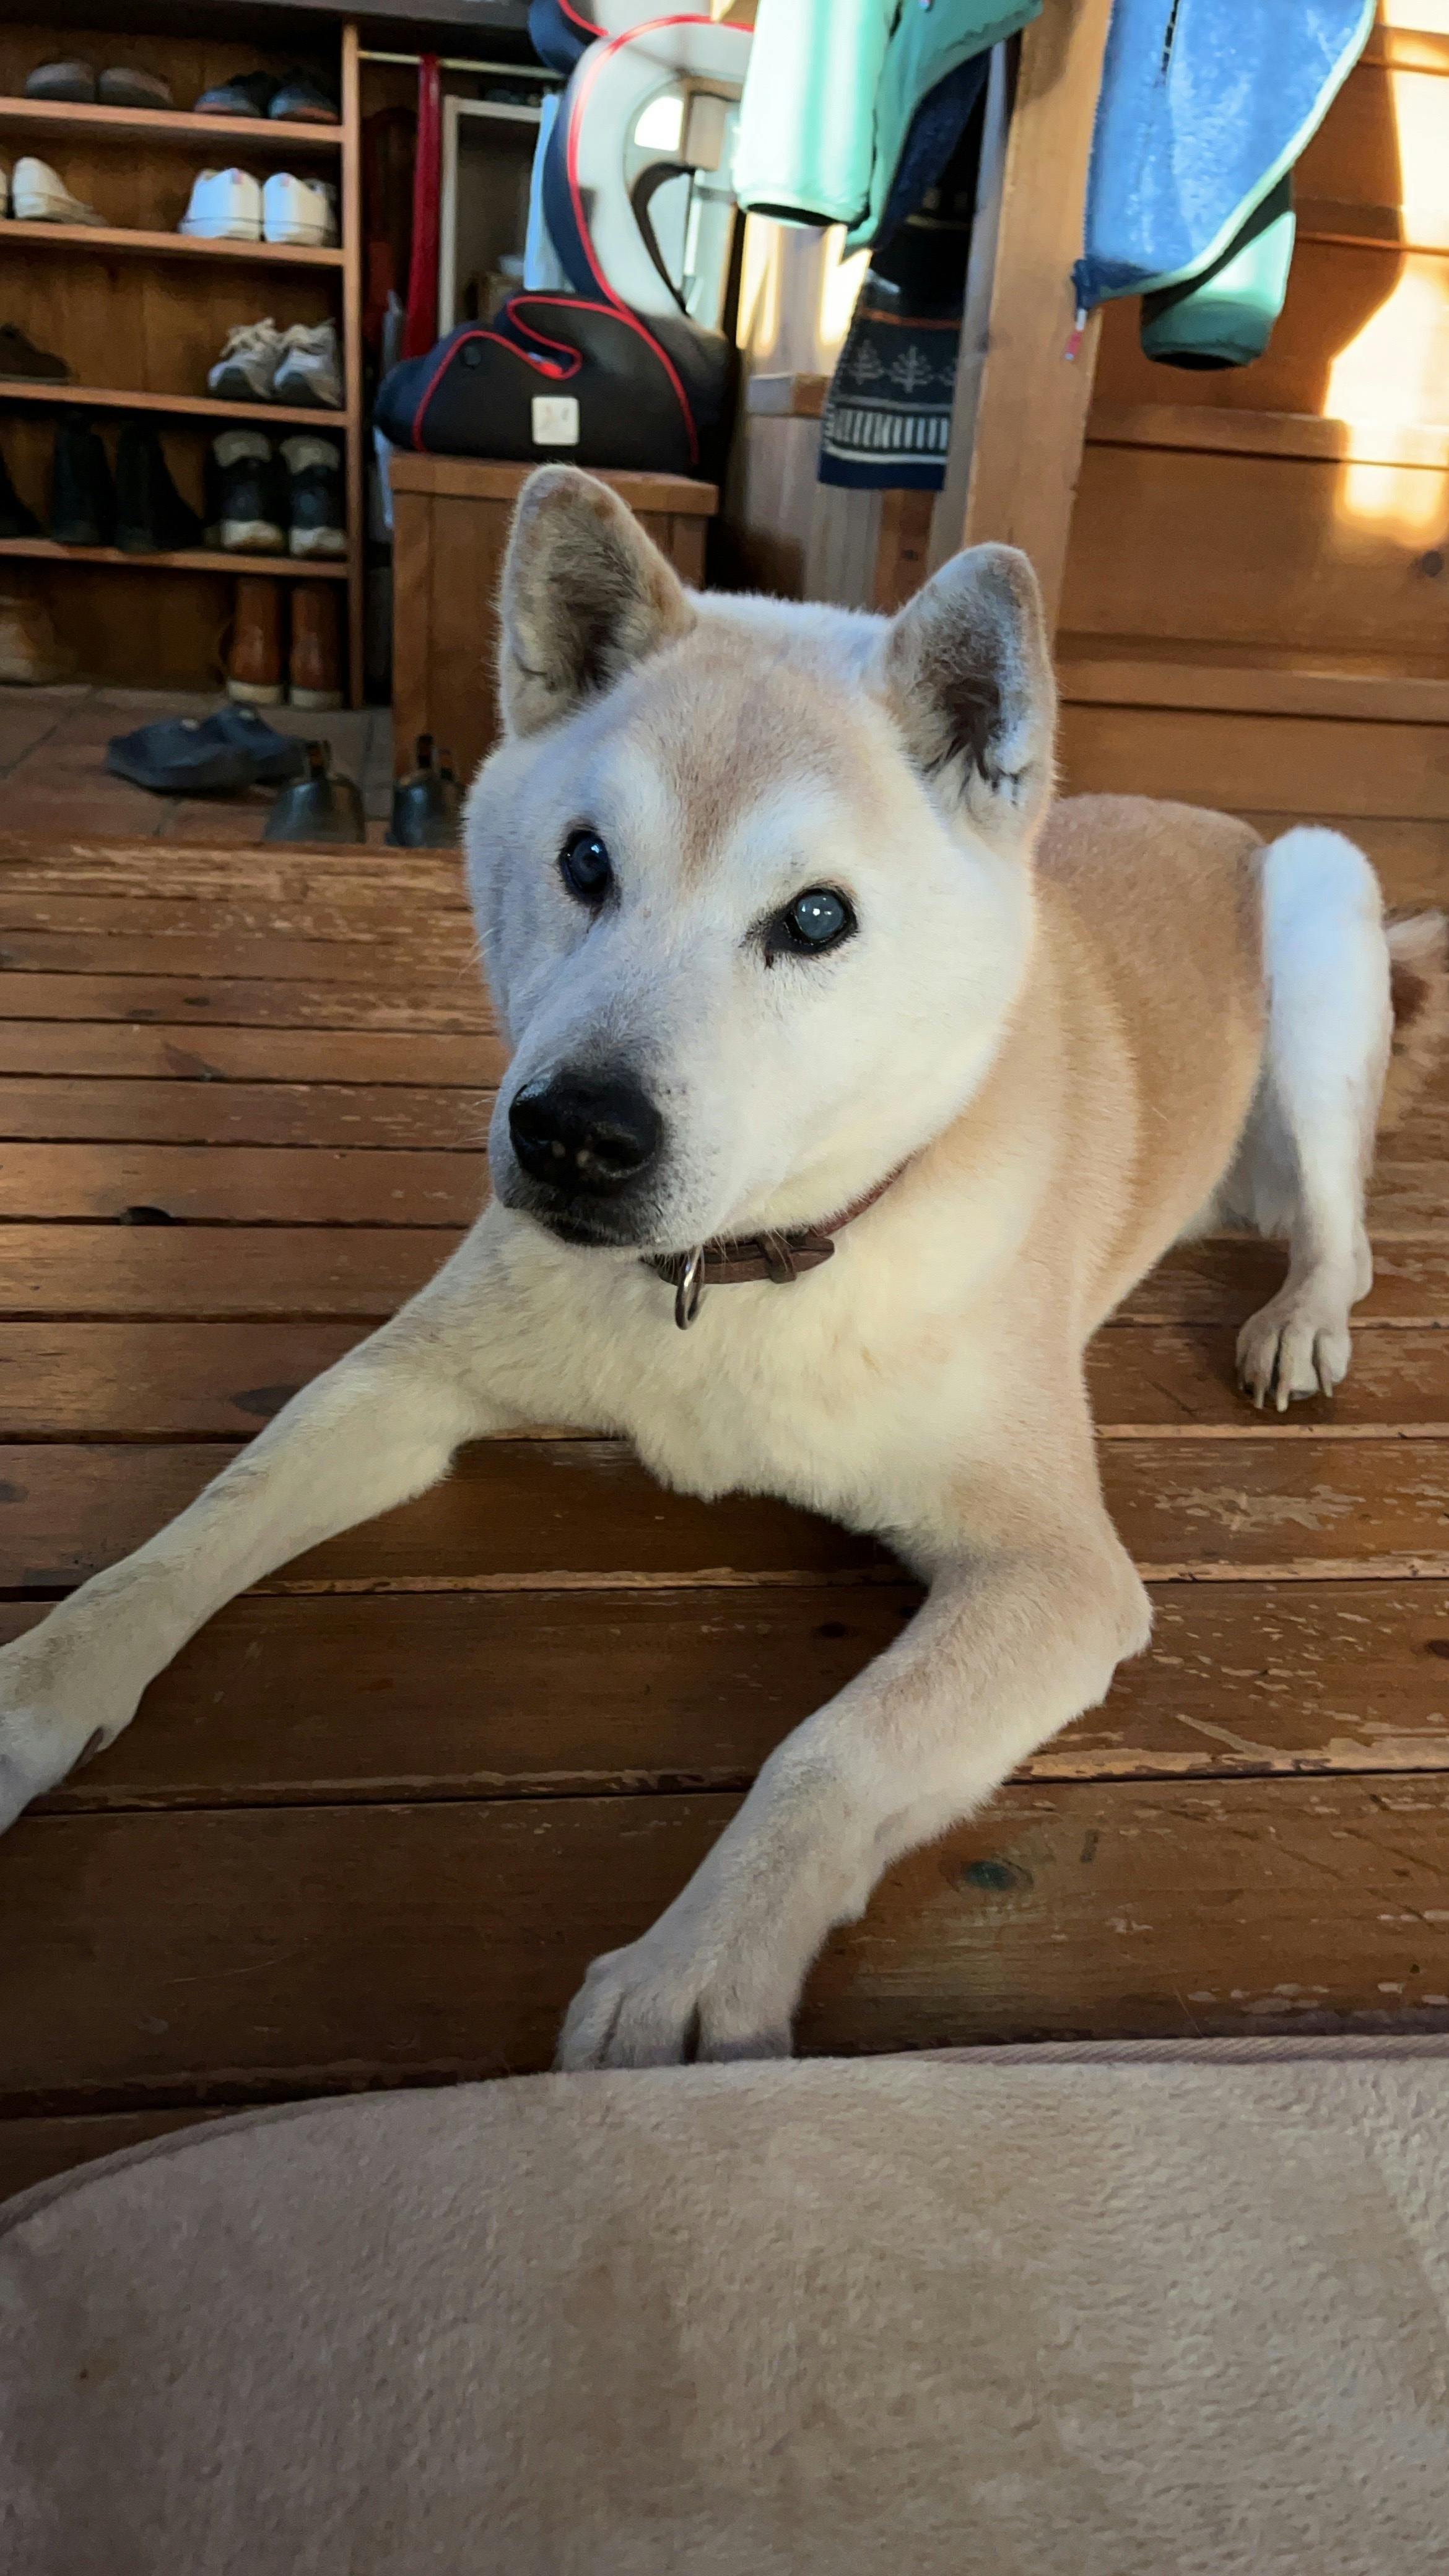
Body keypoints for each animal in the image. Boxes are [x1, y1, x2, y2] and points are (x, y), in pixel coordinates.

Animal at [0, 465, 1443, 2068]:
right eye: (584, 862)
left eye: (815, 917)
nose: (570, 1134)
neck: (738, 1269)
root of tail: (1201, 813)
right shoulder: (401, 1381)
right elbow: (197, 1527)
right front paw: (31, 1693)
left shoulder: (1056, 1575)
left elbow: (835, 1747)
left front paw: (695, 1975)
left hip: (1322, 913)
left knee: (1343, 1231)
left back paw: (1300, 1320)